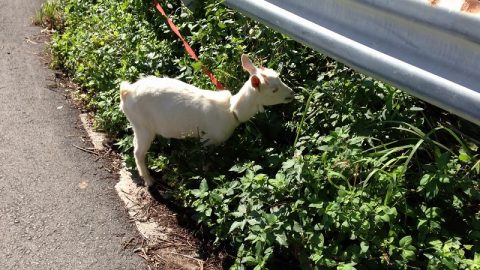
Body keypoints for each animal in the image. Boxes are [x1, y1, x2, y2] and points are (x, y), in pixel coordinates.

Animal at [119, 53, 292, 187]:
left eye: (280, 79)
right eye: (274, 90)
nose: (292, 93)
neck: (231, 110)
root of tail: (126, 91)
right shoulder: (208, 139)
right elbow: (206, 162)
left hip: (138, 125)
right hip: (143, 124)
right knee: (138, 152)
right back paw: (149, 180)